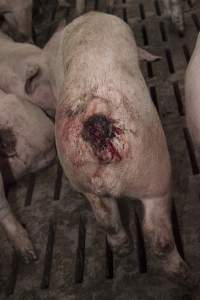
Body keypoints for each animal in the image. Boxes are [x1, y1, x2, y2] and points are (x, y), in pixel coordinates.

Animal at [50, 9, 190, 282]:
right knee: (157, 234)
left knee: (107, 219)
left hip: (81, 176)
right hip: (153, 173)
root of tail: (96, 126)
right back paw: (181, 271)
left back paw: (123, 249)